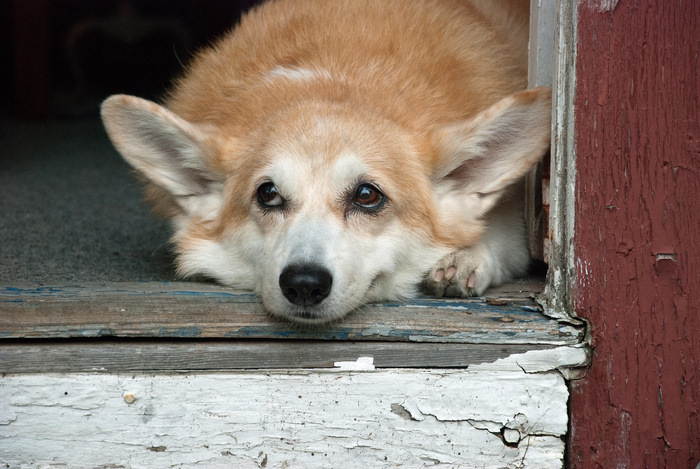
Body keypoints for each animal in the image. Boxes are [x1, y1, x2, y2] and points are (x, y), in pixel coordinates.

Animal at [102, 0, 552, 322]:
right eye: (267, 194)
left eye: (368, 196)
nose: (304, 284)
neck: (334, 76)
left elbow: (504, 238)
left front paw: (466, 258)